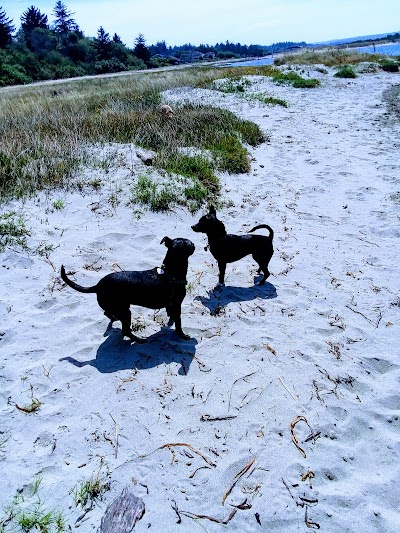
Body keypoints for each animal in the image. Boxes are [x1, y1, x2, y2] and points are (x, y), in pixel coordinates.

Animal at [59, 237, 195, 340]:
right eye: (188, 244)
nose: (193, 243)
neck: (170, 271)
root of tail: (98, 285)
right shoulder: (177, 305)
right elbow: (178, 323)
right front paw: (183, 335)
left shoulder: (171, 305)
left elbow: (171, 316)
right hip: (124, 311)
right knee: (125, 330)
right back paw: (138, 340)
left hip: (117, 307)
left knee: (107, 313)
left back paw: (114, 319)